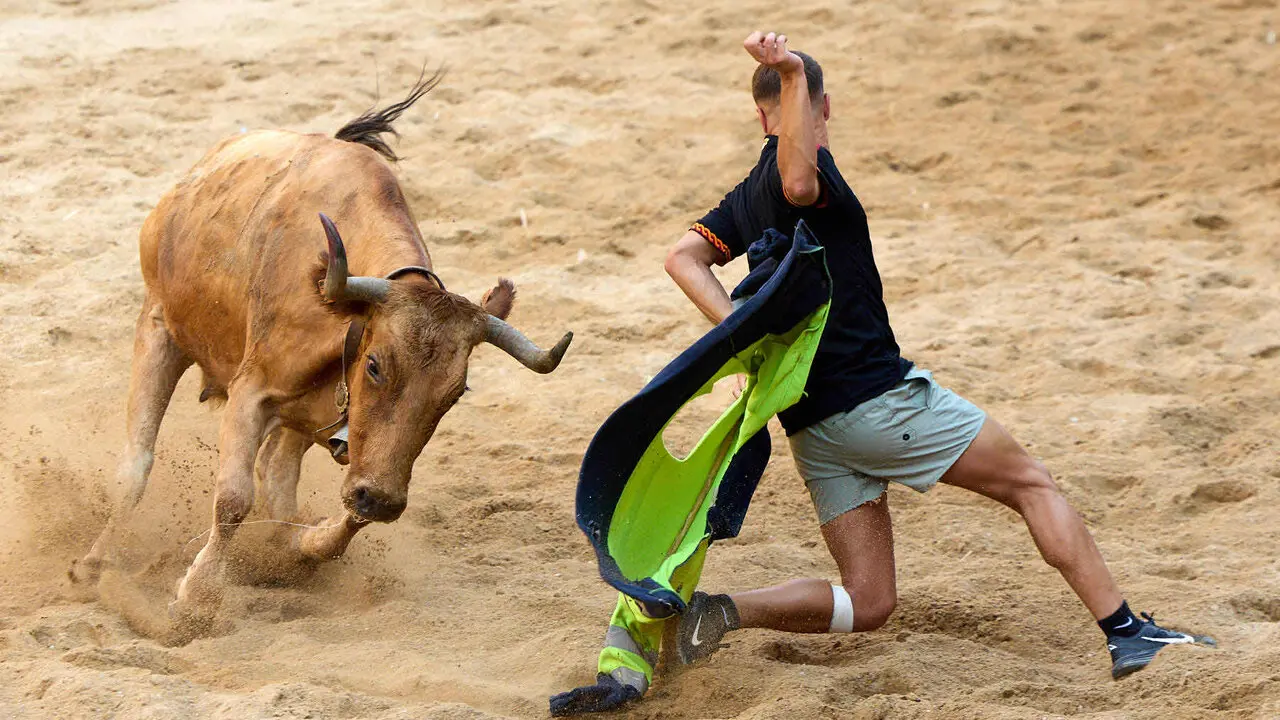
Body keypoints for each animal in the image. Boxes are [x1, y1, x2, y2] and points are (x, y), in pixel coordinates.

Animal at [70, 72, 572, 632]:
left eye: (456, 392)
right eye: (375, 365)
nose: (382, 499)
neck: (345, 317)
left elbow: (318, 516)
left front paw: (292, 549)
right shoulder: (251, 393)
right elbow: (234, 498)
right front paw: (195, 599)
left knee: (275, 475)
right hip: (159, 325)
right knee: (136, 465)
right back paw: (93, 563)